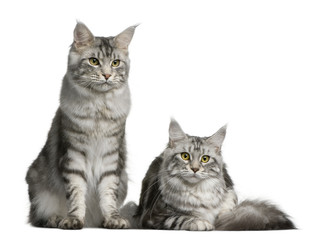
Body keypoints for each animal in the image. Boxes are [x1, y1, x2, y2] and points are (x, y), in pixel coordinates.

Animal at [25, 22, 137, 229]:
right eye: (94, 61)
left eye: (115, 63)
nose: (107, 75)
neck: (99, 109)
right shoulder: (74, 156)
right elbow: (76, 194)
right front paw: (74, 219)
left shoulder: (110, 159)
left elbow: (108, 195)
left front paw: (113, 218)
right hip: (36, 181)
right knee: (38, 217)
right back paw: (56, 218)